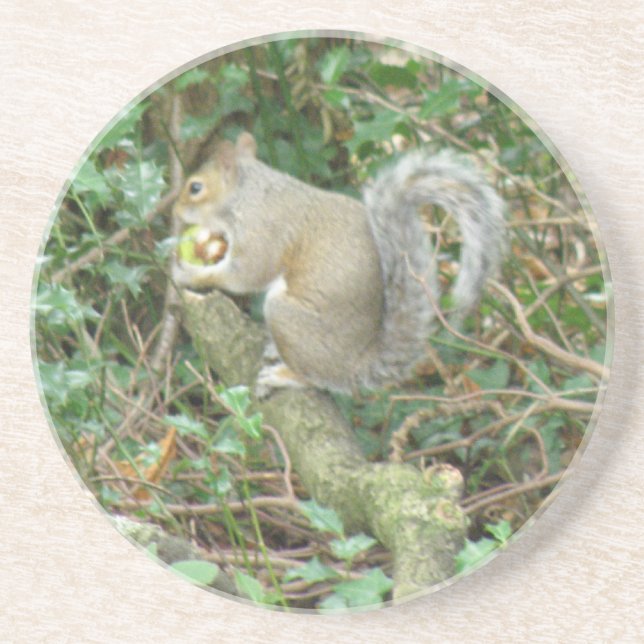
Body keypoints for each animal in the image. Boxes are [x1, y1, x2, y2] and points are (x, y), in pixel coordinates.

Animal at [172, 132, 505, 395]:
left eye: (195, 188)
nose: (175, 211)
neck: (248, 195)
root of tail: (353, 366)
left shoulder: (262, 232)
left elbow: (245, 274)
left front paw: (191, 274)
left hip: (286, 318)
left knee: (316, 379)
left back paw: (285, 375)